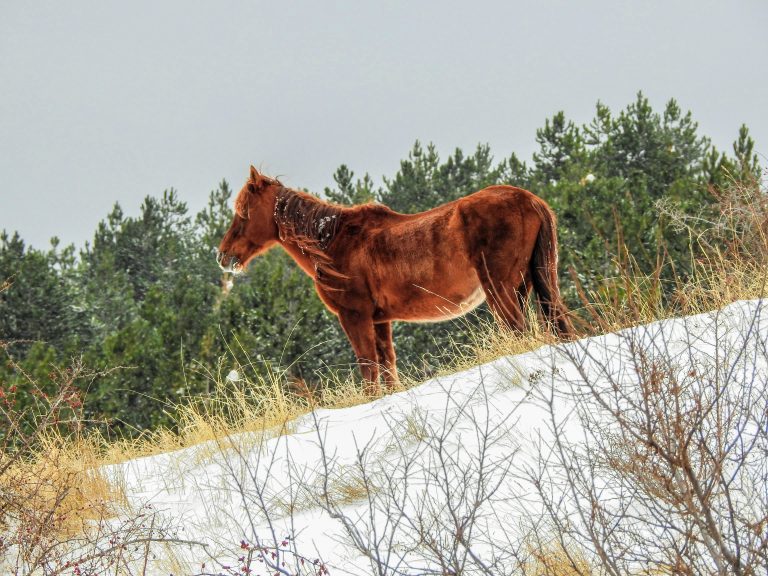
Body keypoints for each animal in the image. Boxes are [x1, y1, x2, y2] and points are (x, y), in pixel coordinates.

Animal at [216, 165, 568, 392]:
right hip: (525, 286)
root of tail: (530, 199)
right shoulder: (379, 320)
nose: (223, 255)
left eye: (243, 211)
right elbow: (387, 368)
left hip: (501, 291)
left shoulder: (354, 317)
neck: (333, 241)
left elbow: (369, 368)